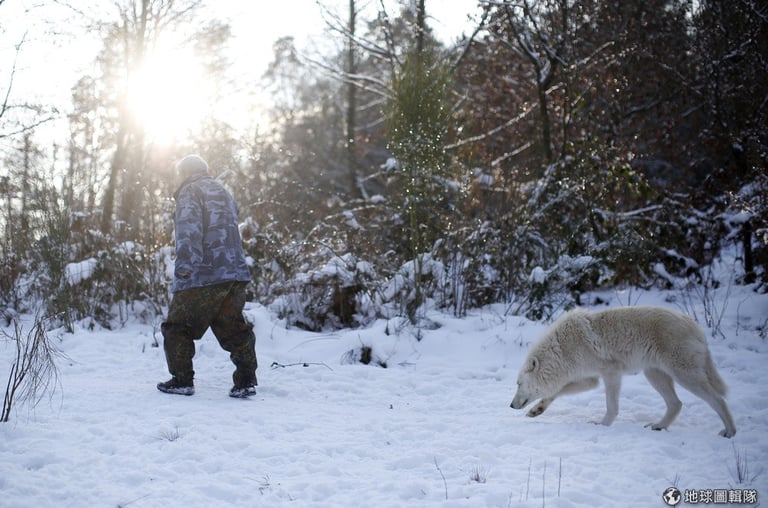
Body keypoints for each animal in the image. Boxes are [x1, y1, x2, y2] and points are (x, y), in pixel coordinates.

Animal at [510, 306, 736, 436]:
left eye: (519, 384)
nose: (511, 405)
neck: (562, 349)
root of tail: (695, 325)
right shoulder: (590, 379)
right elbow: (556, 392)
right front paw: (537, 410)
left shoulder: (611, 372)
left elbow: (611, 405)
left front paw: (602, 424)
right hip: (654, 374)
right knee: (676, 404)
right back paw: (659, 426)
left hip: (683, 375)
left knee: (717, 399)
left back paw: (730, 431)